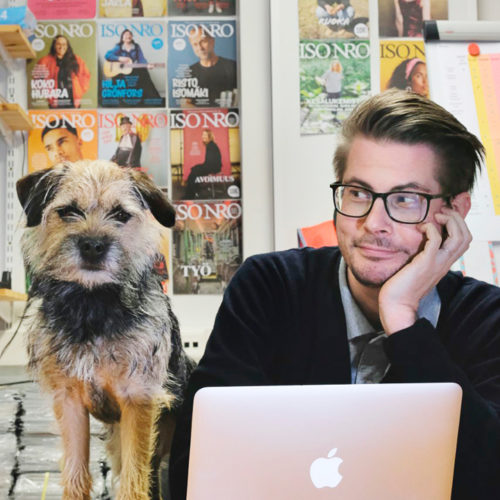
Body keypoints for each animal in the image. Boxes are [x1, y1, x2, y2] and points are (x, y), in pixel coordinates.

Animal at [16, 160, 196, 500]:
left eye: (121, 215)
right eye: (68, 211)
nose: (93, 246)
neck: (93, 306)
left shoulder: (138, 399)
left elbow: (134, 480)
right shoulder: (70, 402)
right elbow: (76, 473)